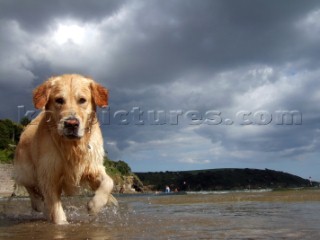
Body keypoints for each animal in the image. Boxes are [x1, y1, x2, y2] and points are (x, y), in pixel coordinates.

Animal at [14, 74, 116, 224]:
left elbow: (109, 182)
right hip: (26, 169)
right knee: (30, 186)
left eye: (82, 100)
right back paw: (38, 204)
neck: (72, 146)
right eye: (59, 100)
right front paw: (62, 223)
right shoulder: (49, 175)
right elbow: (56, 210)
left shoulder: (93, 167)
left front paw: (94, 205)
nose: (71, 124)